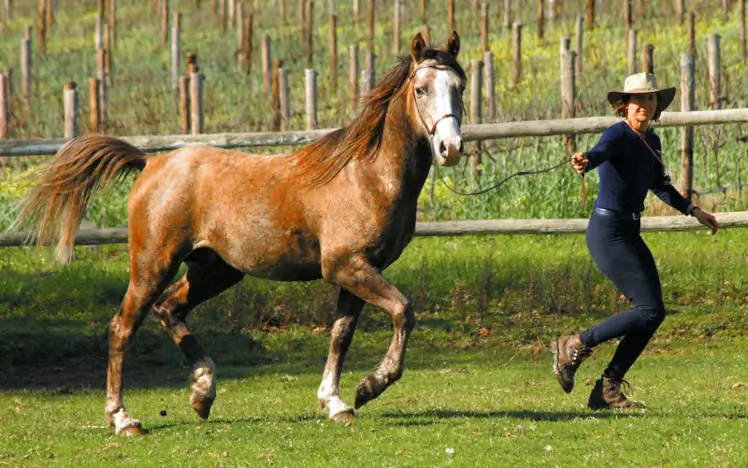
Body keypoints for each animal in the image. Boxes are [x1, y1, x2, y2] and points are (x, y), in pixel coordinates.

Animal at [12, 31, 466, 436]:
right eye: (422, 89)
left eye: (459, 86)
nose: (451, 148)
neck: (366, 175)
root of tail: (151, 163)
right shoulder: (347, 267)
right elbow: (403, 311)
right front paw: (371, 385)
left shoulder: (359, 271)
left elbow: (342, 334)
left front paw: (336, 403)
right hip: (153, 264)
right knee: (123, 326)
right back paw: (124, 419)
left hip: (214, 271)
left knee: (168, 308)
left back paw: (203, 391)